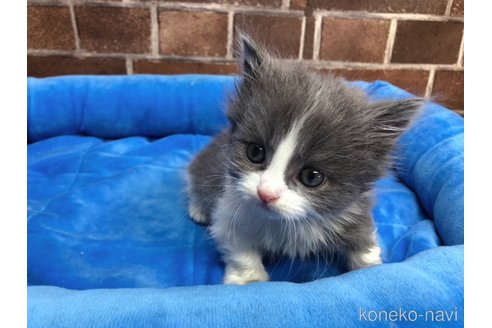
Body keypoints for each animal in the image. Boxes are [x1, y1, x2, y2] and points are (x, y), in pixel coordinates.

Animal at [186, 34, 420, 284]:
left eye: (312, 176)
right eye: (255, 152)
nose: (266, 194)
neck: (285, 223)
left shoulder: (354, 210)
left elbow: (364, 240)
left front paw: (372, 269)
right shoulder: (229, 209)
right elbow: (240, 249)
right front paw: (250, 280)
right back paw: (198, 210)